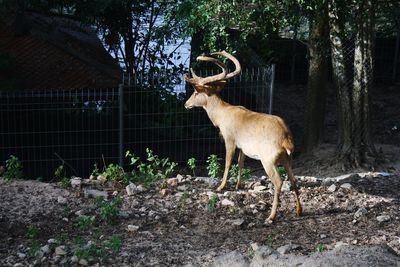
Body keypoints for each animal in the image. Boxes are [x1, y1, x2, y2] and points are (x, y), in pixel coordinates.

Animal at [184, 51, 304, 223]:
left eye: (195, 92)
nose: (186, 104)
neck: (221, 116)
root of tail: (286, 140)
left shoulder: (230, 139)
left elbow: (228, 162)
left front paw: (221, 186)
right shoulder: (243, 147)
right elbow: (240, 163)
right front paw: (238, 185)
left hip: (268, 159)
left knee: (279, 182)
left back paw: (271, 216)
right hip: (288, 158)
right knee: (294, 180)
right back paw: (299, 211)